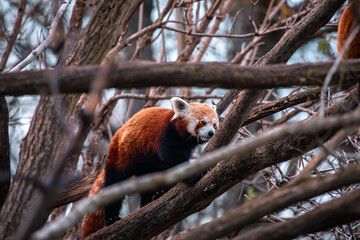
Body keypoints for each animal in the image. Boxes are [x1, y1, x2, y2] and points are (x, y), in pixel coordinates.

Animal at [80, 96, 218, 237]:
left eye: (214, 124)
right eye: (202, 122)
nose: (211, 133)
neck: (182, 135)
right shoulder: (167, 135)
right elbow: (172, 158)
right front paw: (196, 174)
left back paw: (153, 197)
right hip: (121, 155)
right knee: (114, 183)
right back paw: (111, 218)